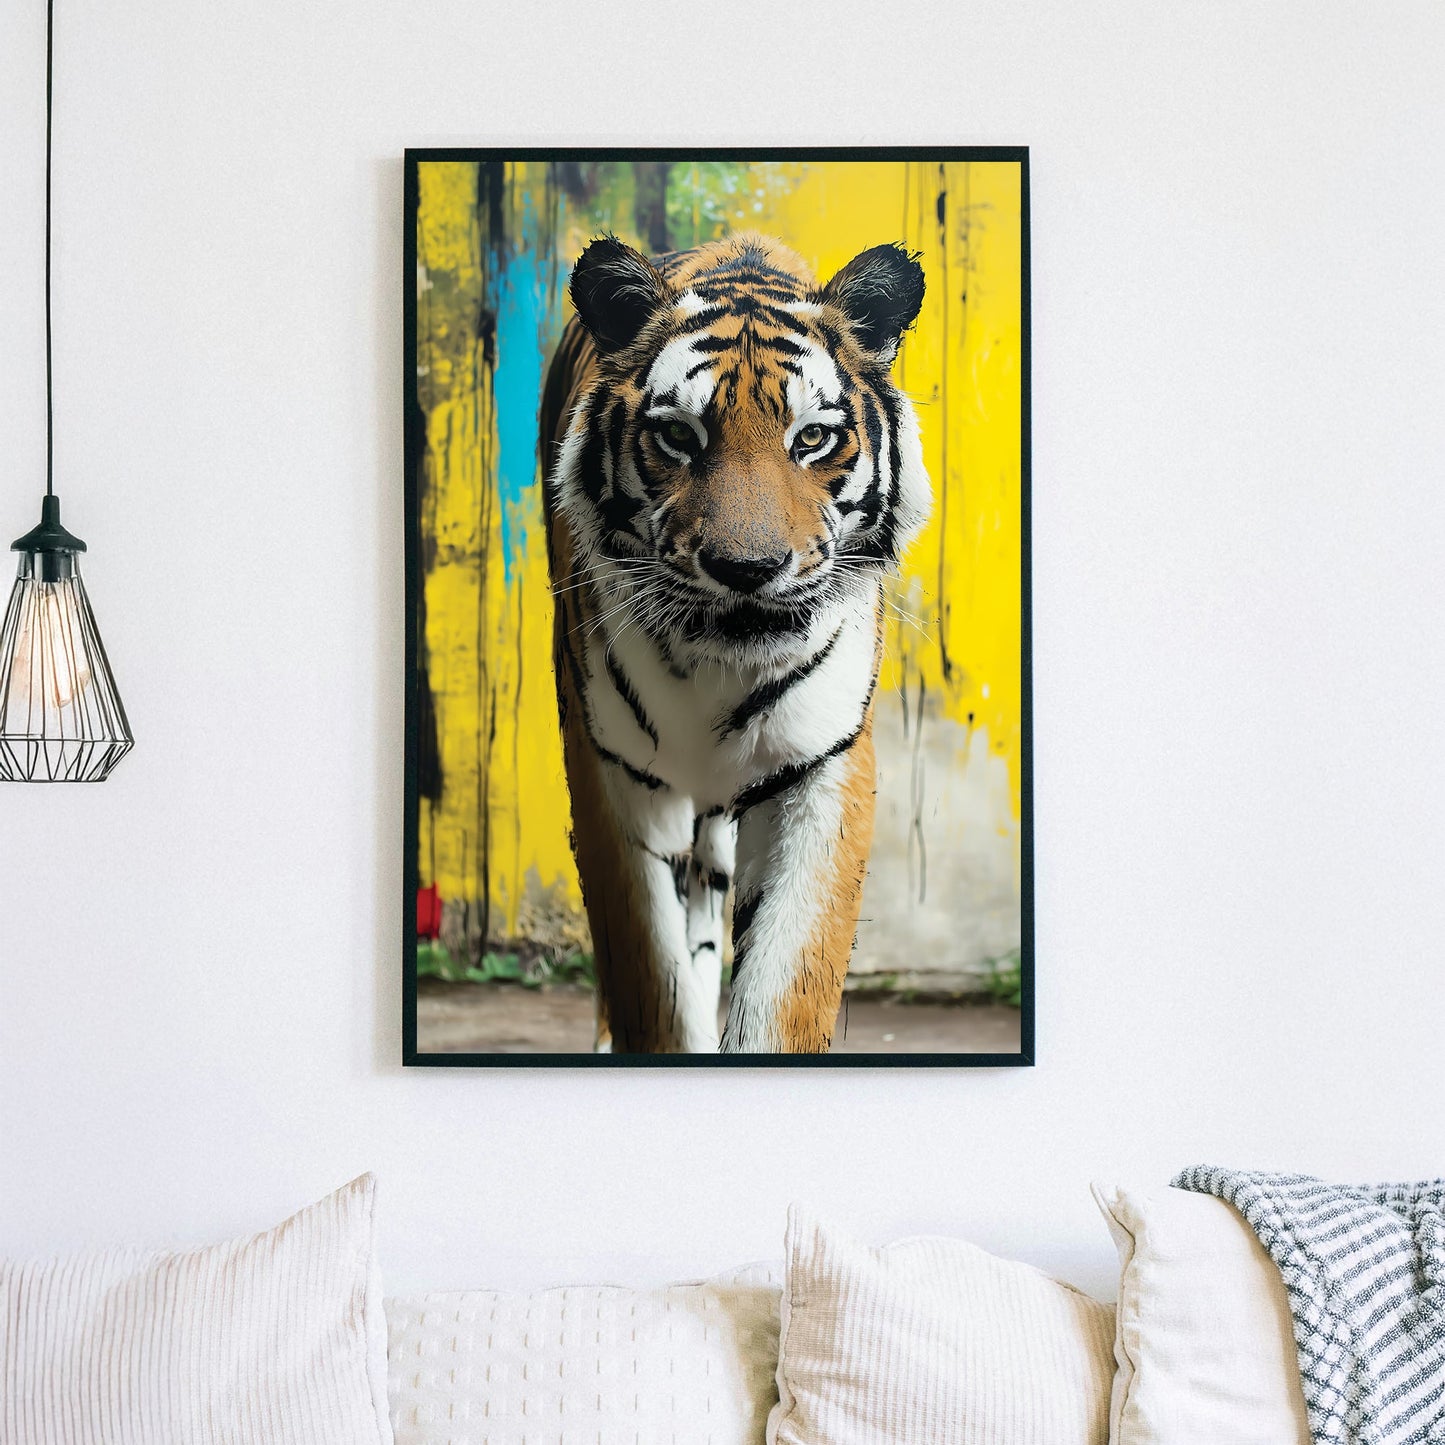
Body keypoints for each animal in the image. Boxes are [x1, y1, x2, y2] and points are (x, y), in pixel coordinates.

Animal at [538, 230, 929, 1054]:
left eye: (811, 438)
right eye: (677, 436)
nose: (747, 569)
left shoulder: (822, 766)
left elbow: (784, 989)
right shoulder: (610, 774)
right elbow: (651, 983)